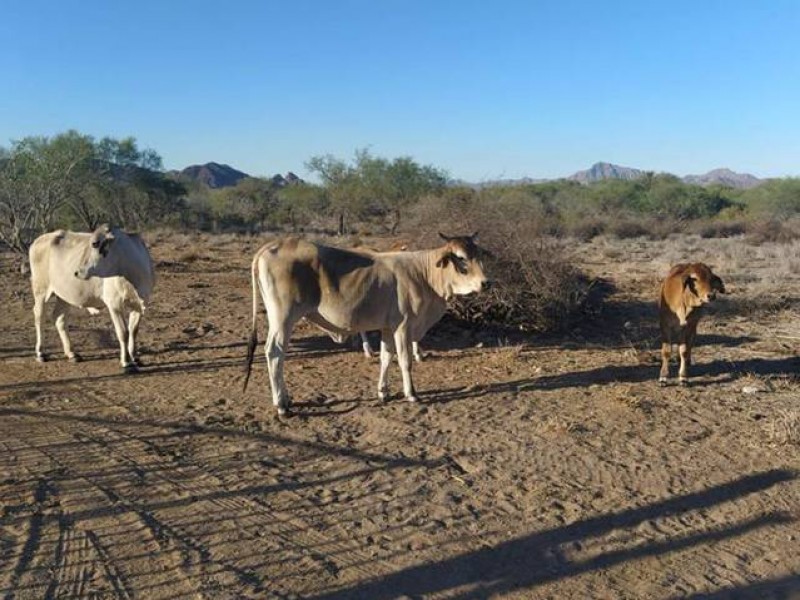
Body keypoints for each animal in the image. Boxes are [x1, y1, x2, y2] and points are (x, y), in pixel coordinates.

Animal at [28, 225, 155, 370]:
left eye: (95, 244)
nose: (77, 272)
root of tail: (39, 240)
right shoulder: (114, 304)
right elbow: (123, 332)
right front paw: (126, 361)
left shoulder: (139, 304)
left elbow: (133, 330)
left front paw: (135, 357)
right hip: (40, 290)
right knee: (39, 315)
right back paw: (40, 352)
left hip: (64, 295)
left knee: (59, 318)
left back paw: (71, 353)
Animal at [241, 232, 488, 414]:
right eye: (461, 258)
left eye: (477, 255)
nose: (486, 283)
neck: (423, 274)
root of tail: (271, 246)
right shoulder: (403, 326)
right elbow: (405, 361)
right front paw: (411, 394)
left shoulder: (388, 327)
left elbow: (386, 358)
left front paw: (383, 392)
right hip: (282, 318)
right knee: (274, 352)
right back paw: (281, 404)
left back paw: (286, 399)